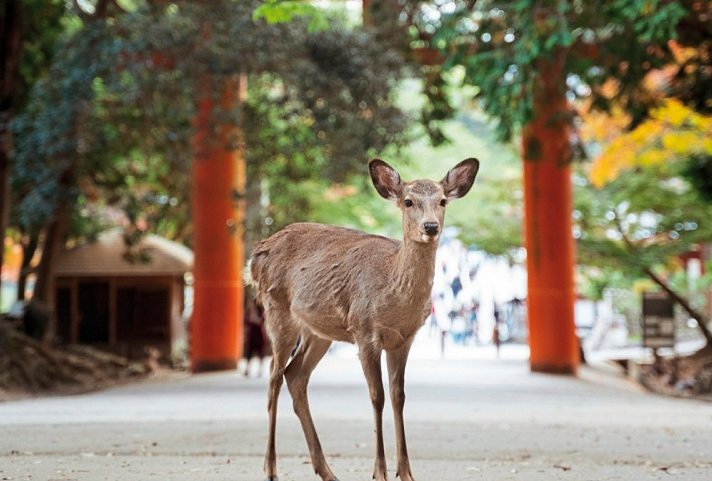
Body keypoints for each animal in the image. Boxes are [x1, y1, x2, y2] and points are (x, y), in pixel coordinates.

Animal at [248, 158, 482, 480]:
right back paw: (271, 468)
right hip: (277, 310)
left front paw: (406, 472)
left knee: (295, 375)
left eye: (443, 201)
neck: (393, 293)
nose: (431, 227)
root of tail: (256, 254)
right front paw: (379, 472)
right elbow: (377, 396)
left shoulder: (404, 339)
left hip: (319, 331)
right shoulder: (365, 330)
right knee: (273, 378)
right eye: (408, 201)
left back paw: (326, 471)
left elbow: (398, 396)